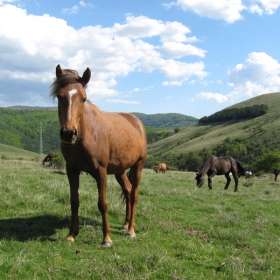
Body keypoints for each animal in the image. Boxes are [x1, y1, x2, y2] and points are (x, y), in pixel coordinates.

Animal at [50, 64, 148, 247]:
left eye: (83, 98)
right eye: (59, 96)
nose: (68, 133)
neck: (87, 134)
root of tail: (137, 122)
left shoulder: (101, 172)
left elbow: (103, 203)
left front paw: (106, 238)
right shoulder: (71, 170)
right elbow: (74, 201)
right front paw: (71, 234)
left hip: (138, 165)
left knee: (134, 194)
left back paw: (131, 230)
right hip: (120, 171)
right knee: (128, 191)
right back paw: (125, 225)